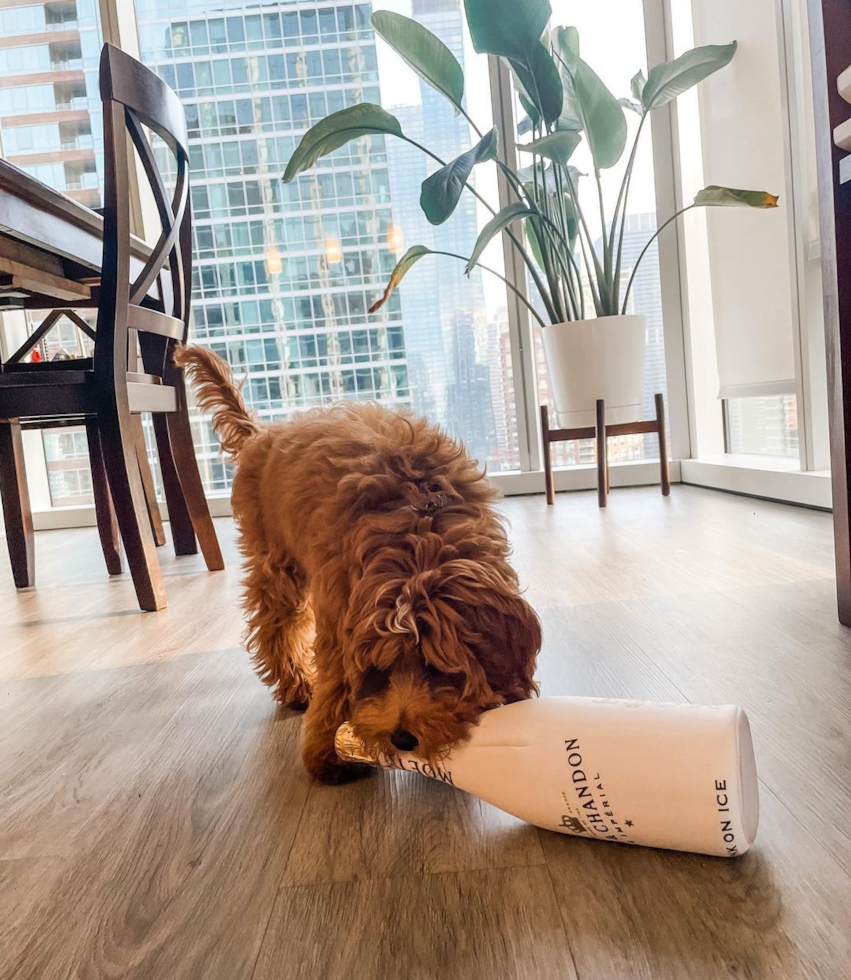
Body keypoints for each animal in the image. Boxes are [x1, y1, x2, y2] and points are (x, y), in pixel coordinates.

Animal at [176, 344, 544, 780]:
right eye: (378, 673)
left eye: (439, 670)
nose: (402, 738)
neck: (419, 537)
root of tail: (264, 435)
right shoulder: (340, 611)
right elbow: (336, 674)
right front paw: (331, 750)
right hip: (276, 563)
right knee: (275, 626)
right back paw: (296, 685)